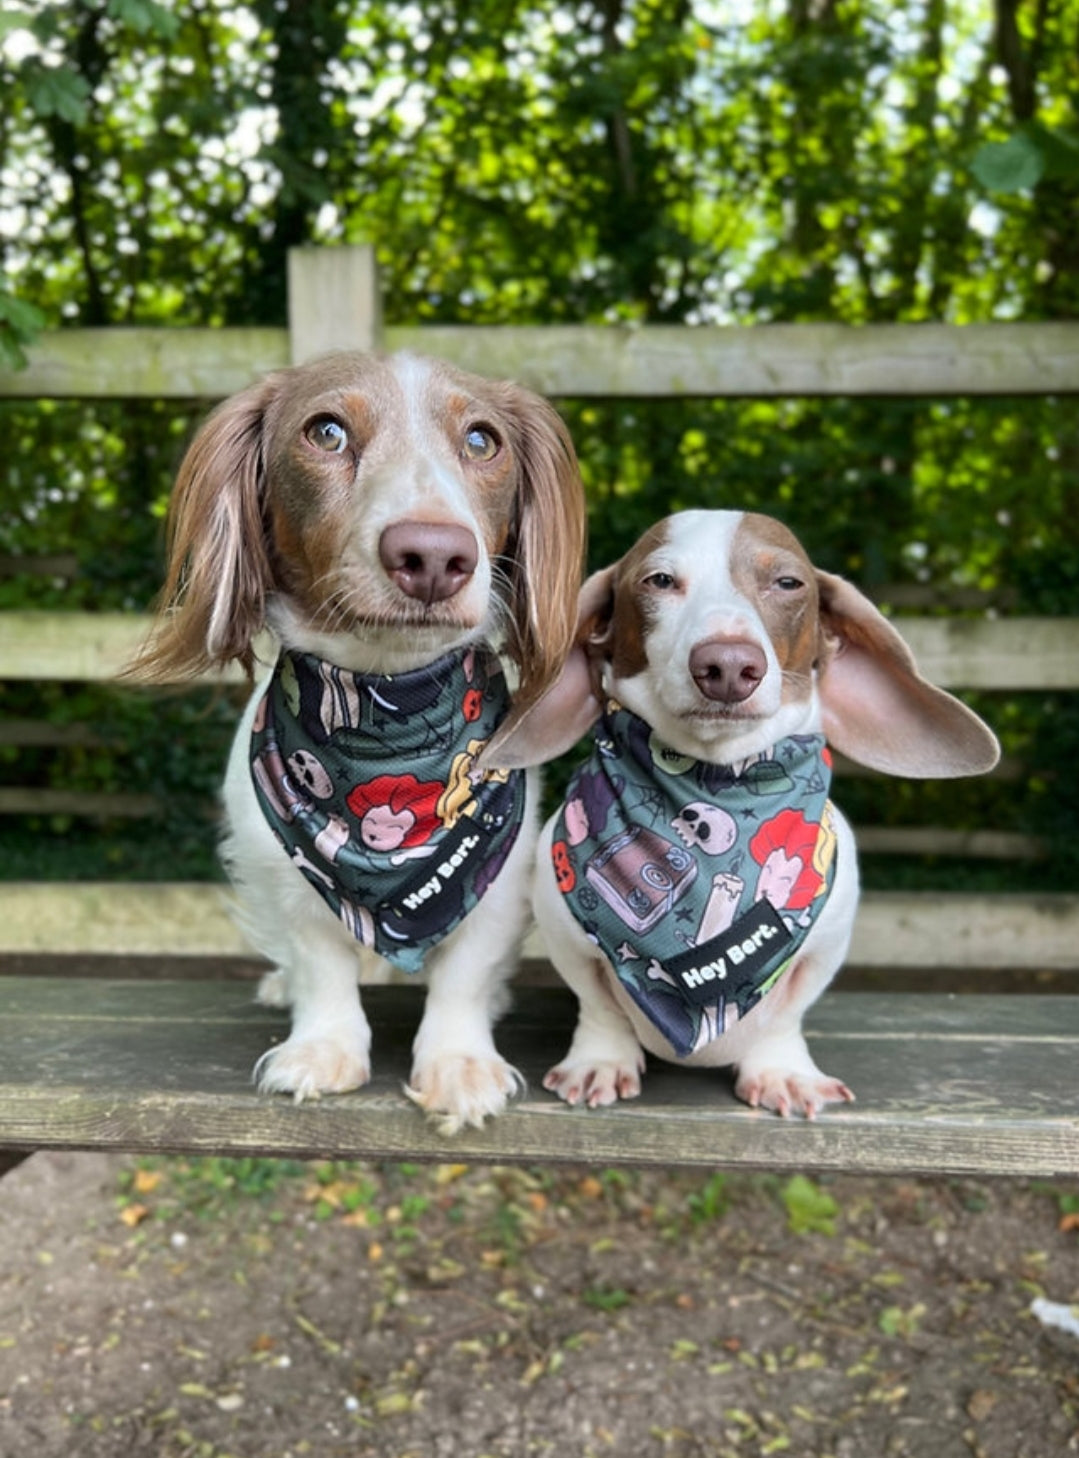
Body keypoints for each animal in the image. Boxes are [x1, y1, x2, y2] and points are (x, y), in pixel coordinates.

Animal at [130, 349, 586, 1125]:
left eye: (481, 441)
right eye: (326, 432)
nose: (433, 555)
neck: (389, 711)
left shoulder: (499, 867)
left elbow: (464, 973)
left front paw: (458, 1063)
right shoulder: (285, 867)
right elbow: (321, 963)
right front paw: (322, 1047)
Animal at [519, 510, 997, 1113]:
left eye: (788, 583)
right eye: (658, 581)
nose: (727, 664)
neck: (718, 779)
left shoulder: (822, 947)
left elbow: (786, 1015)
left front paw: (781, 1071)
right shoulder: (566, 937)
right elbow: (599, 1006)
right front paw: (599, 1061)